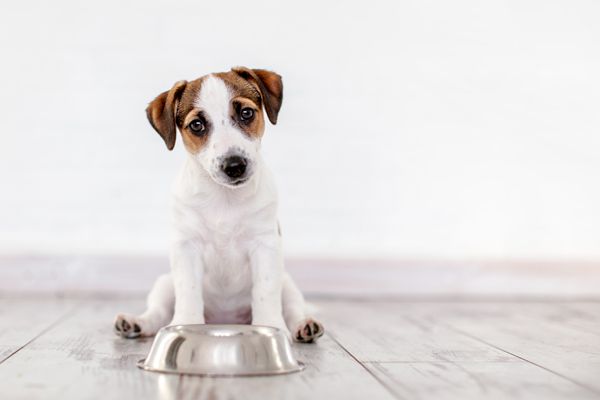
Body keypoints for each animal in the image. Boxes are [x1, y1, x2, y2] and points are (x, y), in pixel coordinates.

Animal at [112, 67, 324, 342]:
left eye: (246, 113)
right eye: (197, 125)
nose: (234, 165)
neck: (224, 198)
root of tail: (226, 319)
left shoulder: (265, 246)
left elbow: (265, 292)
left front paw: (271, 327)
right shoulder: (186, 248)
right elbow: (189, 292)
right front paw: (186, 324)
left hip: (287, 284)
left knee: (293, 308)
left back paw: (305, 326)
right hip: (165, 284)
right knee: (158, 312)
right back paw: (136, 323)